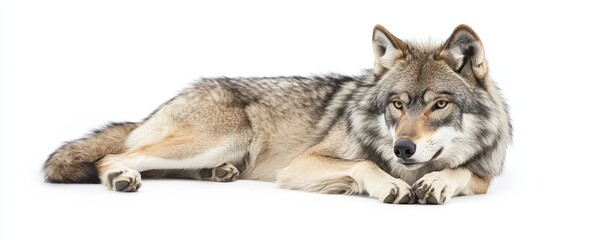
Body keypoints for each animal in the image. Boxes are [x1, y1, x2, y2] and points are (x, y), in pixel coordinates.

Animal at [44, 24, 512, 204]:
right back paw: (122, 176)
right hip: (220, 139)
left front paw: (436, 181)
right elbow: (365, 164)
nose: (403, 149)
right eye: (397, 104)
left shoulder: (483, 176)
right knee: (116, 155)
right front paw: (391, 183)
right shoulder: (301, 164)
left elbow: (459, 172)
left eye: (439, 104)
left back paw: (218, 175)